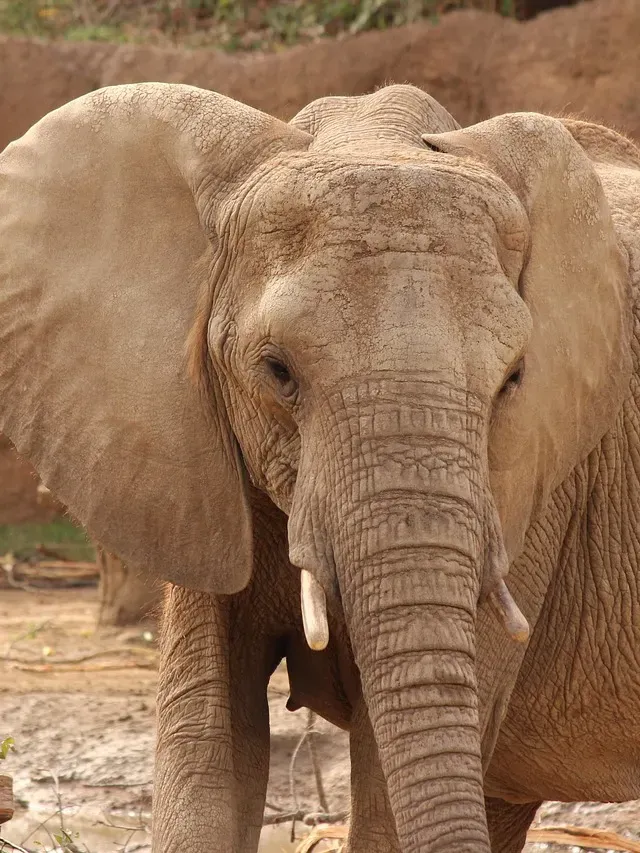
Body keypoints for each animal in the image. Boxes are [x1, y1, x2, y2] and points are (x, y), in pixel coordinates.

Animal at [0, 80, 639, 853]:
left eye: (513, 379)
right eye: (277, 371)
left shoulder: (536, 476)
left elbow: (387, 775)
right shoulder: (190, 453)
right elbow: (207, 744)